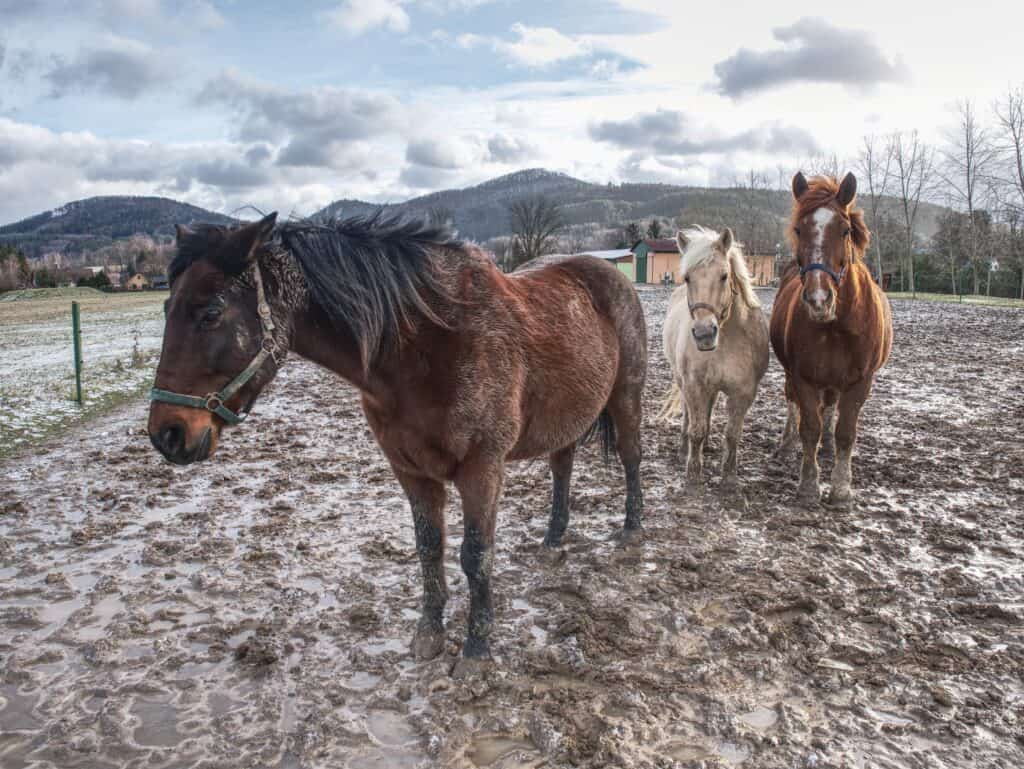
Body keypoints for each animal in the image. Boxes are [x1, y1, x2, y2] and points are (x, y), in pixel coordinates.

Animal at [147, 214, 643, 675]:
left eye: (211, 313)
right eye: (168, 307)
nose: (167, 434)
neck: (427, 346)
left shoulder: (482, 468)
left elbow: (476, 556)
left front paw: (477, 650)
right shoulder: (410, 470)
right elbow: (429, 548)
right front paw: (429, 634)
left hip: (626, 397)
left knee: (631, 458)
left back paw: (631, 532)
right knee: (563, 466)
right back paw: (553, 539)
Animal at [655, 225, 770, 495]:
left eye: (724, 276)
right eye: (687, 278)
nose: (704, 333)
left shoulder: (743, 392)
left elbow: (732, 434)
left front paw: (728, 478)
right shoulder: (694, 385)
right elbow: (696, 429)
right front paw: (693, 475)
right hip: (684, 382)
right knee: (690, 415)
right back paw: (684, 449)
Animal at [770, 176, 892, 511]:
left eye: (845, 230)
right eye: (799, 229)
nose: (818, 299)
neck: (836, 325)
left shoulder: (861, 381)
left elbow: (845, 432)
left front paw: (840, 489)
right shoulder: (803, 377)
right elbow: (809, 427)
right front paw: (809, 486)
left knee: (830, 409)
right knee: (795, 405)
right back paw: (788, 444)